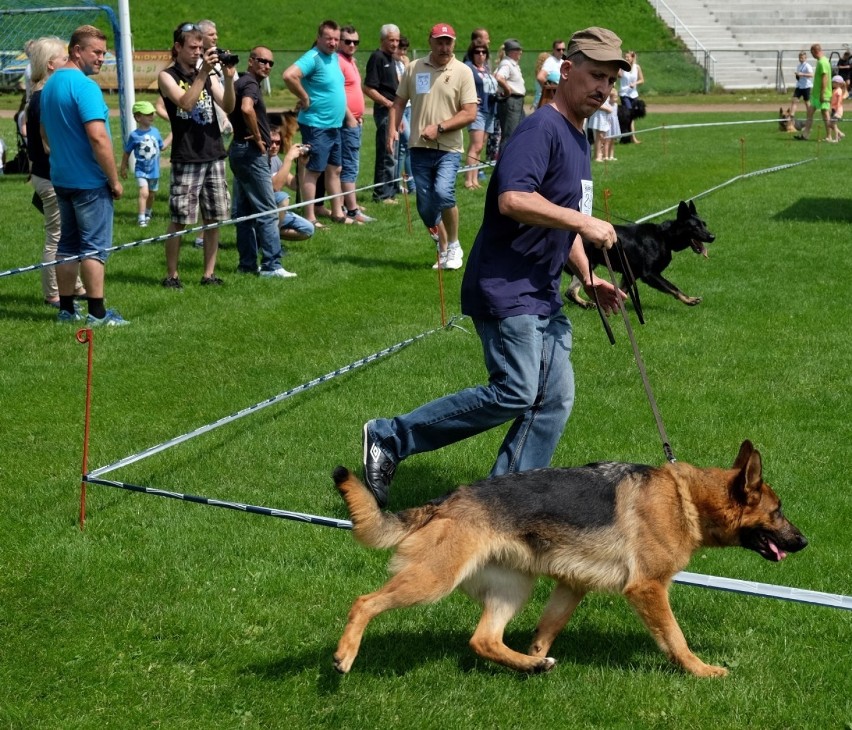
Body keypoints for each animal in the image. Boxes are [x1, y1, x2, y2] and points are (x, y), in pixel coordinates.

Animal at [332, 440, 804, 672]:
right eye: (778, 511)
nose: (804, 542)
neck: (684, 498)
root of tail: (446, 500)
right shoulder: (648, 590)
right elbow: (676, 639)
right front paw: (701, 671)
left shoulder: (572, 586)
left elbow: (546, 631)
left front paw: (537, 654)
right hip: (432, 581)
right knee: (363, 602)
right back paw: (344, 655)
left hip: (514, 589)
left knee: (484, 641)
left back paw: (531, 667)